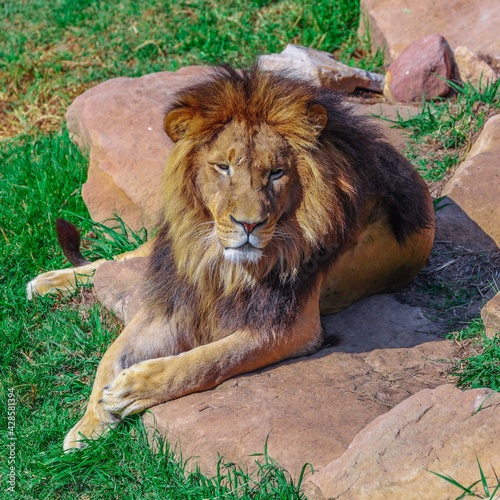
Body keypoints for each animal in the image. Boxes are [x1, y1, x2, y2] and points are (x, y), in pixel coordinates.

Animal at [28, 64, 434, 452]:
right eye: (223, 167)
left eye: (277, 173)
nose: (249, 224)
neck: (217, 262)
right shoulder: (175, 299)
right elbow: (109, 357)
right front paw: (88, 425)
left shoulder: (291, 326)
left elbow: (208, 359)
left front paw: (131, 389)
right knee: (122, 257)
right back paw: (46, 281)